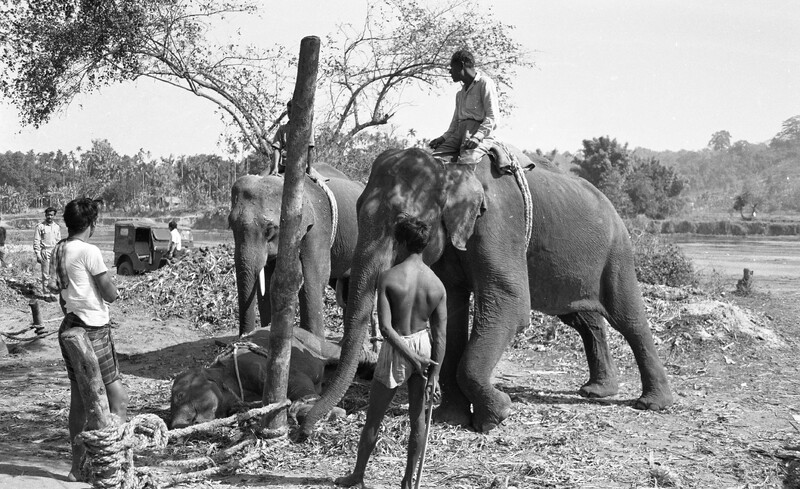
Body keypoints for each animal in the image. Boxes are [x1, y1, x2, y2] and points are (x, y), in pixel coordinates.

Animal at [170, 327, 377, 429]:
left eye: (179, 396)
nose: (175, 425)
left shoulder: (255, 364)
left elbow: (295, 381)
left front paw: (331, 412)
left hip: (312, 341)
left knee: (338, 353)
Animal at [229, 163, 363, 337]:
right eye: (231, 225)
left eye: (270, 230)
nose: (245, 336)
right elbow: (268, 281)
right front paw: (267, 331)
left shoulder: (317, 225)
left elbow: (315, 275)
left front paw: (313, 338)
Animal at [302, 148, 673, 434]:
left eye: (404, 224)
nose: (302, 427)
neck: (450, 167)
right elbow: (450, 309)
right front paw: (452, 418)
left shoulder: (497, 222)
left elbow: (510, 302)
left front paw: (496, 416)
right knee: (581, 317)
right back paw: (597, 391)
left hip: (618, 251)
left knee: (628, 316)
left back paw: (651, 403)